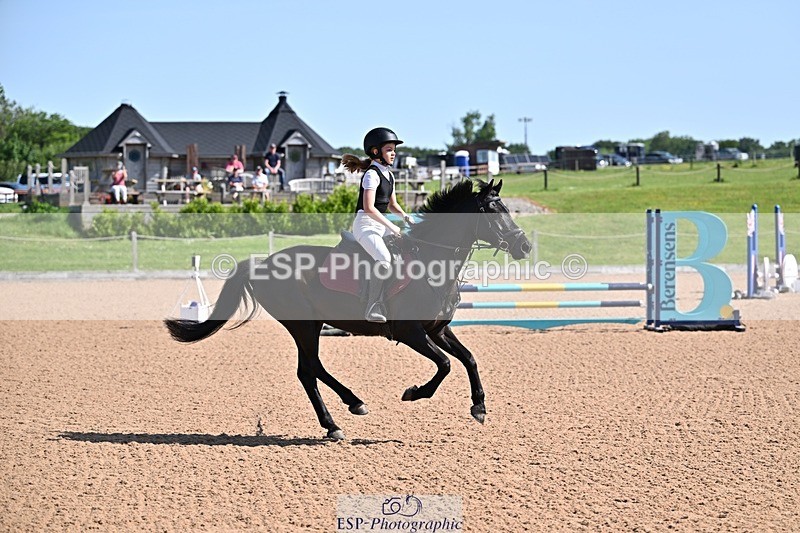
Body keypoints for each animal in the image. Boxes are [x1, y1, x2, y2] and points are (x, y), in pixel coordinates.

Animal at [165, 179, 531, 440]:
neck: (431, 260)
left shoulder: (437, 329)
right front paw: (414, 393)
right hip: (303, 325)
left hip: (310, 326)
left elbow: (468, 359)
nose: (525, 246)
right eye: (494, 211)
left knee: (310, 369)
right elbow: (444, 365)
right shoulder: (411, 332)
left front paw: (479, 406)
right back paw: (341, 415)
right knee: (309, 370)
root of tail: (262, 263)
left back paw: (344, 412)